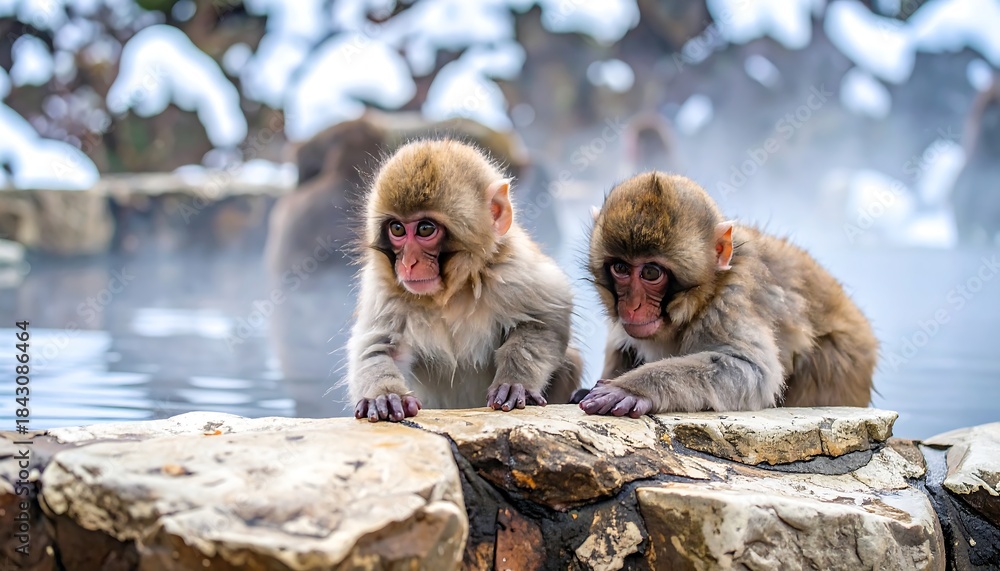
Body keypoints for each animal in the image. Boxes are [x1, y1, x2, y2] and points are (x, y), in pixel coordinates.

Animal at [346, 139, 582, 422]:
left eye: (425, 229)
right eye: (398, 229)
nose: (407, 263)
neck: (449, 294)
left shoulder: (514, 268)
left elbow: (544, 320)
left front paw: (515, 382)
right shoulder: (383, 287)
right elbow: (377, 346)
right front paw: (384, 394)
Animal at [574, 172, 877, 417]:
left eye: (650, 273)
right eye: (621, 268)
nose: (632, 306)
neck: (704, 296)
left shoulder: (730, 302)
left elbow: (752, 370)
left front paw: (631, 389)